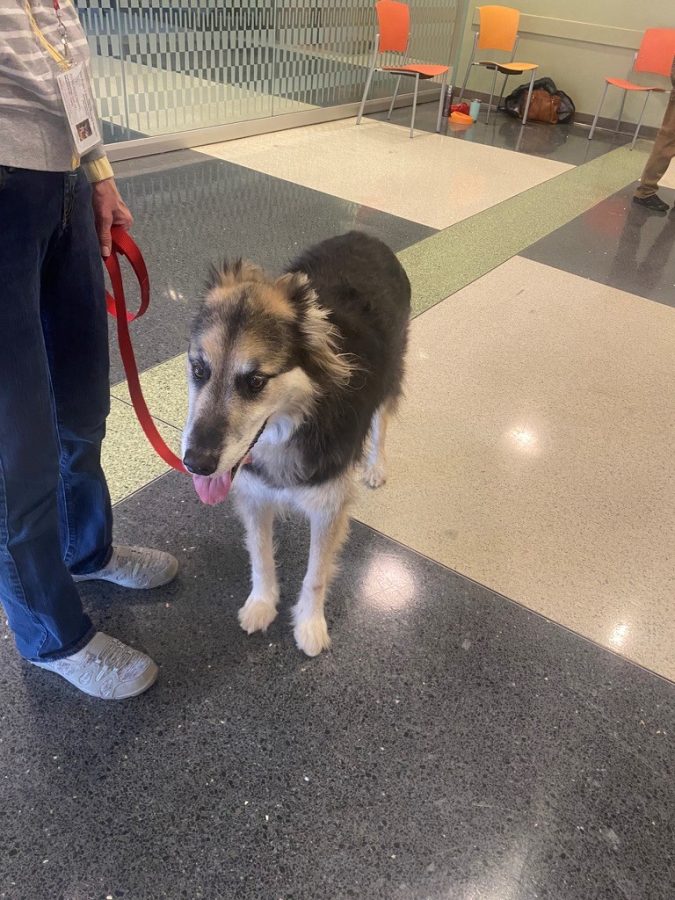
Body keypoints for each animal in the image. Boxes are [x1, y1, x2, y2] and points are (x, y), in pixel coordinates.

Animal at [182, 232, 410, 652]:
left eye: (255, 381)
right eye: (199, 370)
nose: (197, 464)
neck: (296, 424)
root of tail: (364, 235)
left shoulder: (328, 508)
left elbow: (315, 574)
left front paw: (309, 624)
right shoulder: (254, 496)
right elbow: (260, 556)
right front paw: (261, 603)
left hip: (391, 374)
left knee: (381, 423)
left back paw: (375, 466)